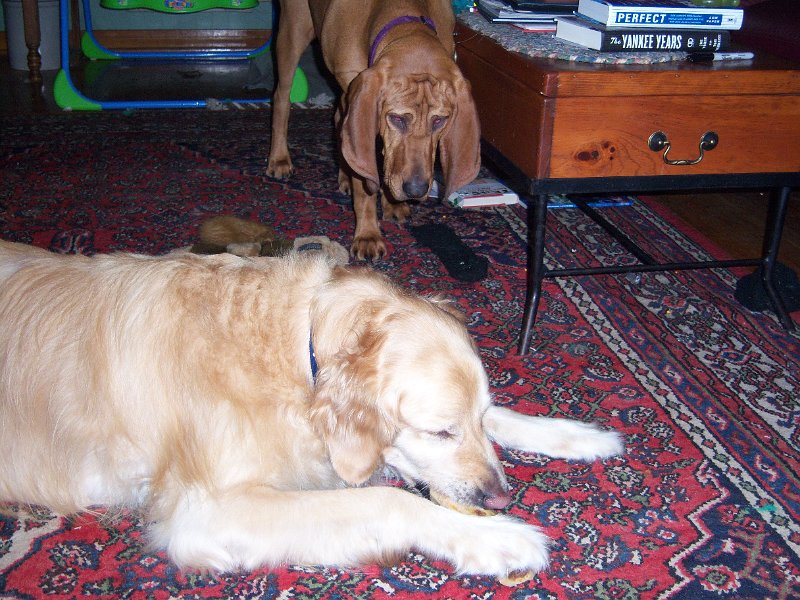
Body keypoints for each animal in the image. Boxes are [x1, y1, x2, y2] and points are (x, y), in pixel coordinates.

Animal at [0, 240, 622, 581]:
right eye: (439, 432)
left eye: (472, 420)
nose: (500, 500)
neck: (298, 350)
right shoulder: (206, 512)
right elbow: (388, 500)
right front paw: (501, 539)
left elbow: (506, 420)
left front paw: (578, 435)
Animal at [266, 0, 481, 260]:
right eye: (397, 118)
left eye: (440, 120)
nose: (416, 190)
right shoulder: (361, 102)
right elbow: (365, 186)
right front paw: (368, 234)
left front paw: (392, 202)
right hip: (292, 33)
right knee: (281, 98)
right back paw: (279, 159)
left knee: (339, 124)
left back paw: (344, 177)